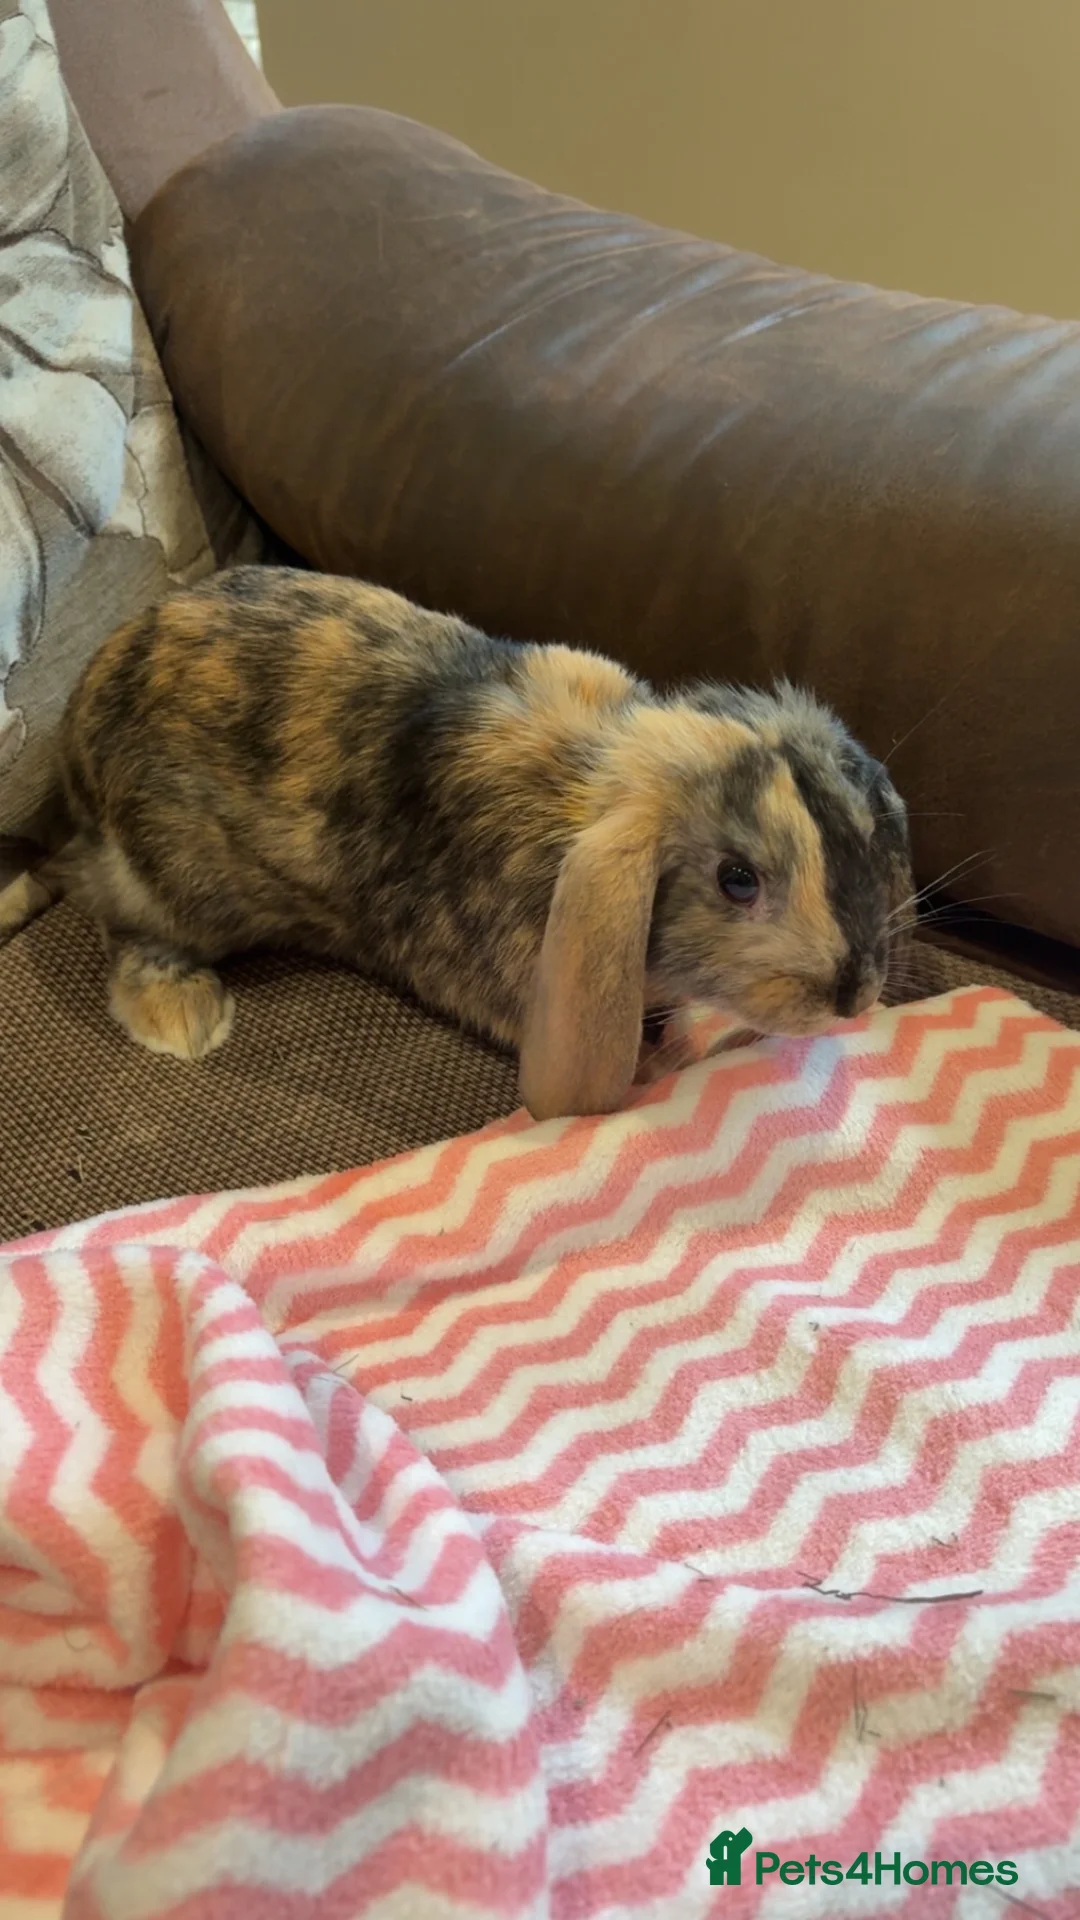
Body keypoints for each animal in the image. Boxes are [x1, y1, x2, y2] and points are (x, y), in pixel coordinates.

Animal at [4, 566, 913, 1120]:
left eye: (869, 831)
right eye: (737, 878)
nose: (857, 997)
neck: (590, 787)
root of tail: (75, 731)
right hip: (171, 884)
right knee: (122, 927)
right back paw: (184, 1017)